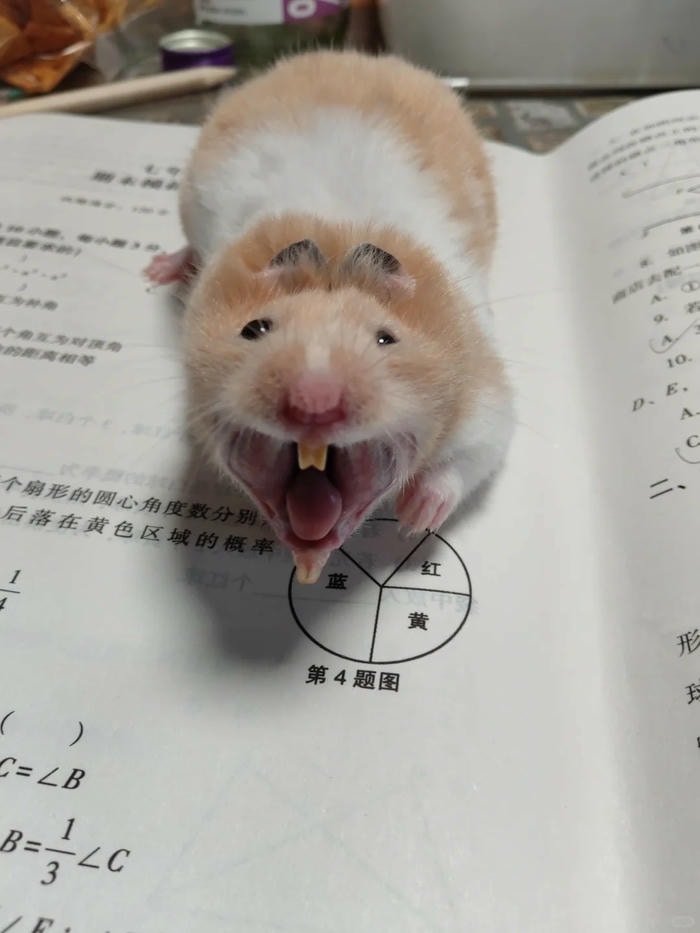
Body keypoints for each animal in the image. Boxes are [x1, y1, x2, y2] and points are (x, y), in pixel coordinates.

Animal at [146, 50, 514, 584]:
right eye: (253, 330)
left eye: (386, 339)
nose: (313, 406)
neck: (336, 239)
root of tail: (348, 54)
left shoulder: (487, 398)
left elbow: (468, 458)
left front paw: (412, 517)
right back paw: (157, 269)